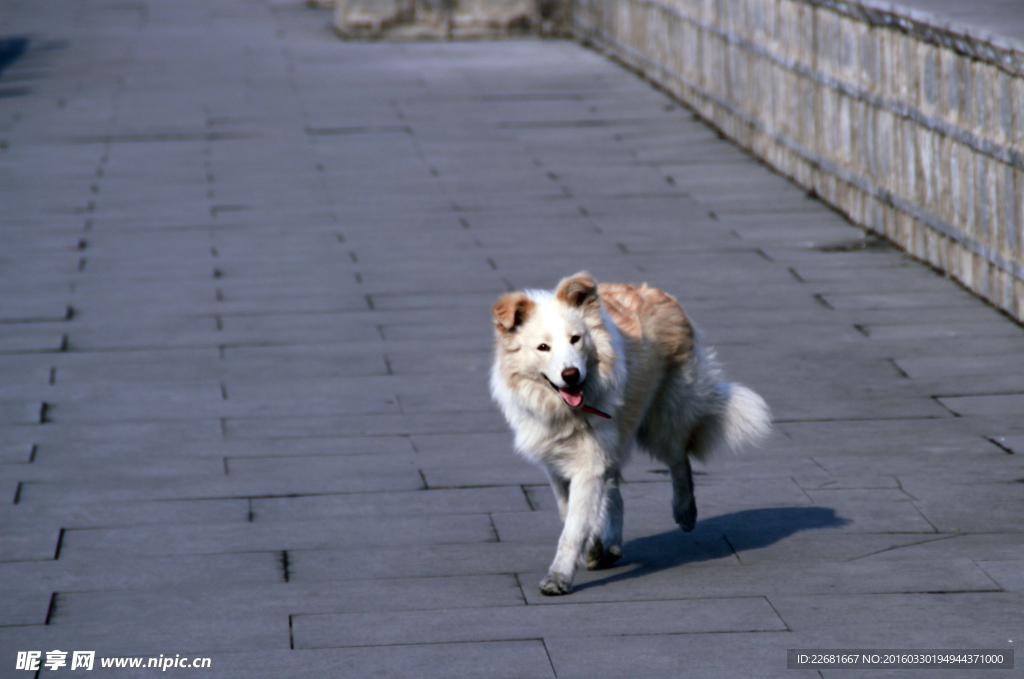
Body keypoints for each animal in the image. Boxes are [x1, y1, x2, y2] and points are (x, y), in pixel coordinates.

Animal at [487, 270, 770, 593]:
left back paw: (685, 513)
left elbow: (573, 527)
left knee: (679, 460)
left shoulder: (589, 461)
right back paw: (610, 546)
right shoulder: (556, 462)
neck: (567, 409)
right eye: (543, 348)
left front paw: (558, 577)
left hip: (663, 419)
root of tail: (655, 292)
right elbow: (571, 512)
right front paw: (592, 549)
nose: (571, 375)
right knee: (617, 494)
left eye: (575, 339)